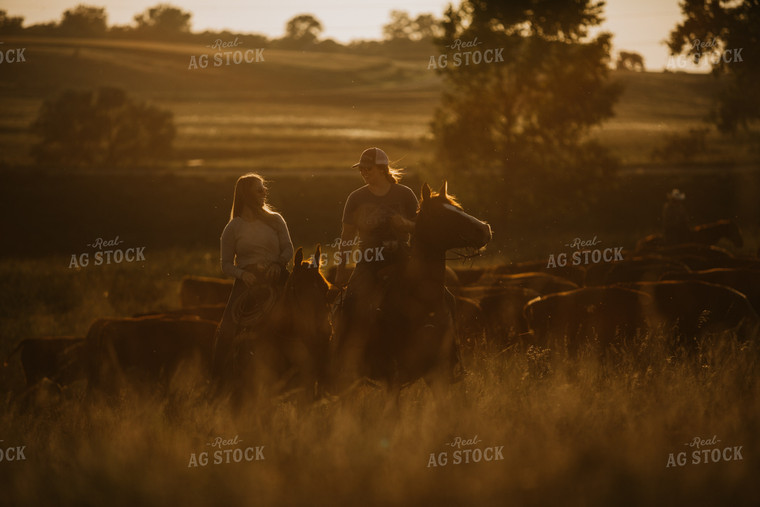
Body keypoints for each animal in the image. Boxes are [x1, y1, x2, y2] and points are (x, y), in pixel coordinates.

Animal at [332, 183, 492, 400]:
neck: (421, 300)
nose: (484, 229)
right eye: (440, 214)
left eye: (458, 208)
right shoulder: (392, 377)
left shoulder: (439, 373)